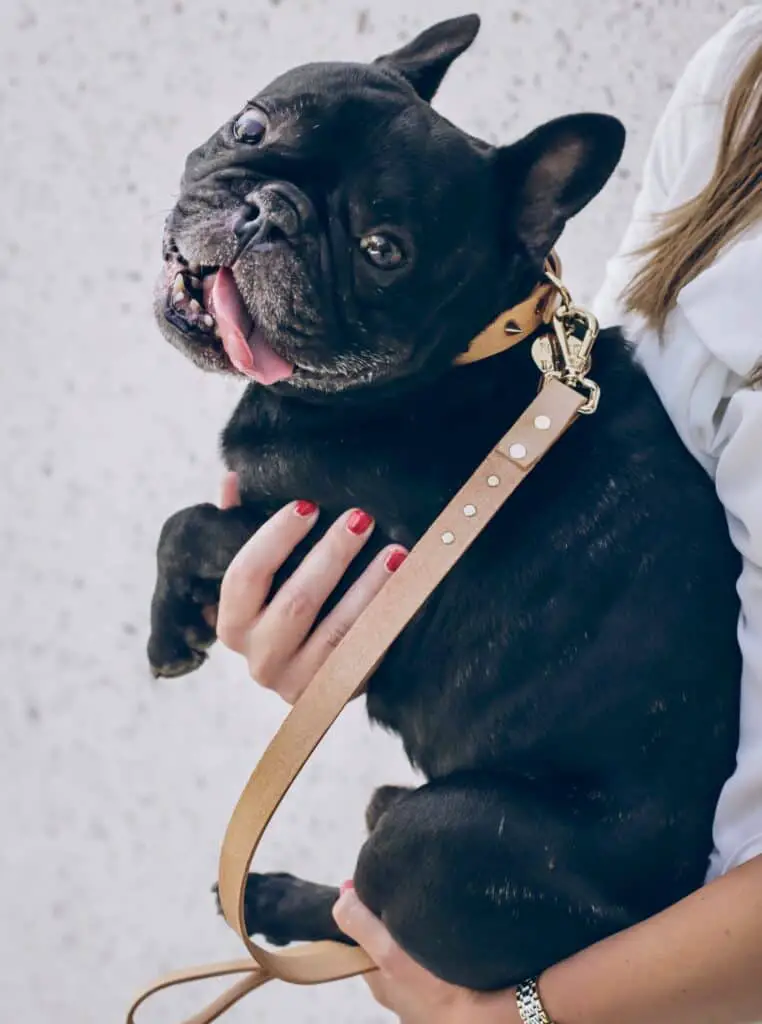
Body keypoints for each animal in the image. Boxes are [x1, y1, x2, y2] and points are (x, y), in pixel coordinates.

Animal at [145, 16, 741, 987]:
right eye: (251, 127)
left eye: (383, 250)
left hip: (440, 840)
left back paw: (278, 903)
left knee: (372, 913)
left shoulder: (333, 560)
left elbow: (187, 524)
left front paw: (169, 637)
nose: (270, 211)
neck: (464, 354)